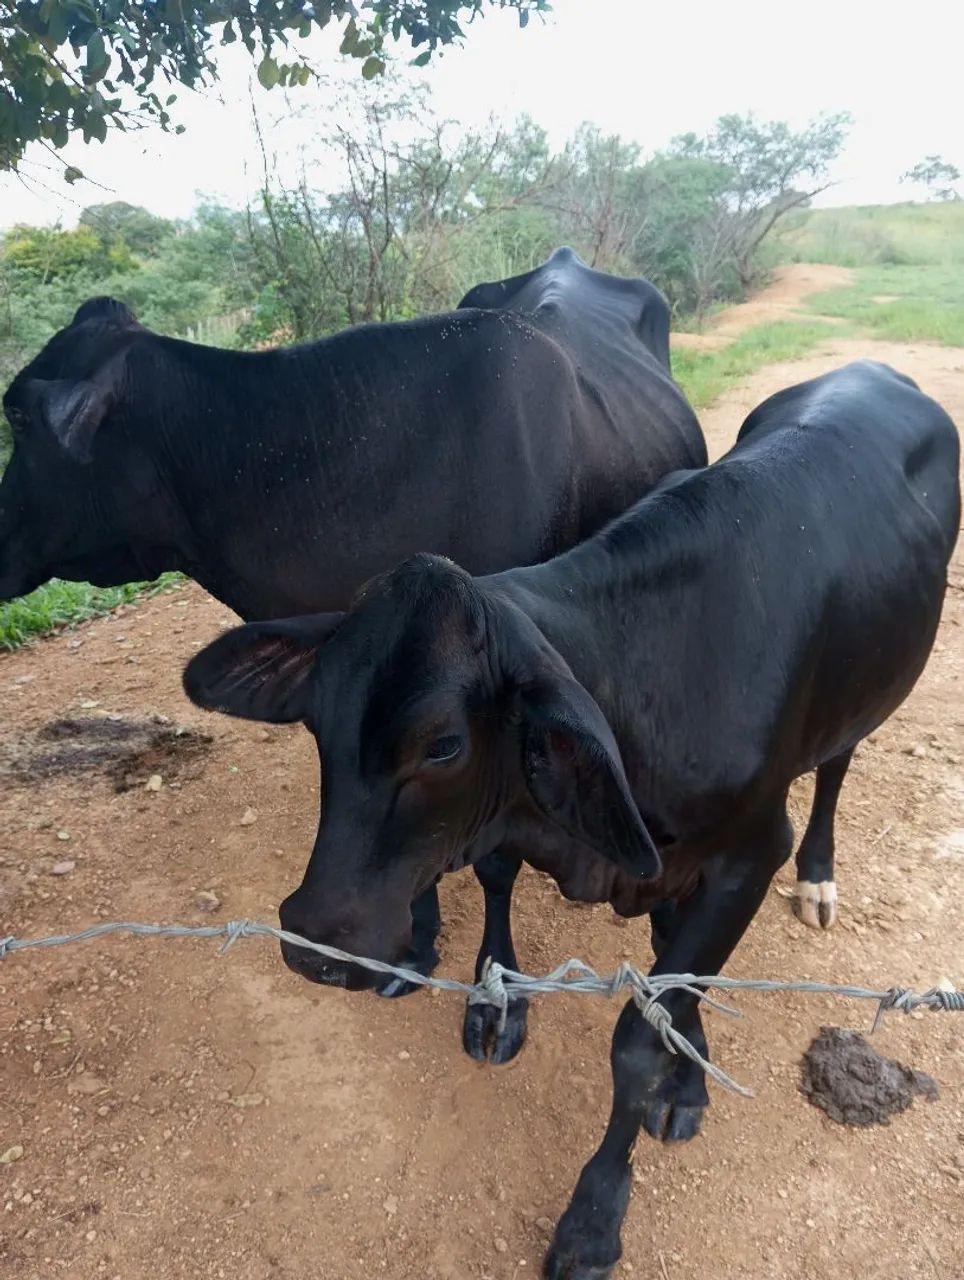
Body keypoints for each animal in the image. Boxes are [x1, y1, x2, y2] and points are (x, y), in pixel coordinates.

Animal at [183, 361, 958, 1279]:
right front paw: (506, 1006)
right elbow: (520, 893)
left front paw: (596, 1213)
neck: (648, 678)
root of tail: (872, 369)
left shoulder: (748, 853)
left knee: (838, 764)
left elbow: (644, 1034)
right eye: (316, 721)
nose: (313, 940)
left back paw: (819, 877)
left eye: (443, 745)